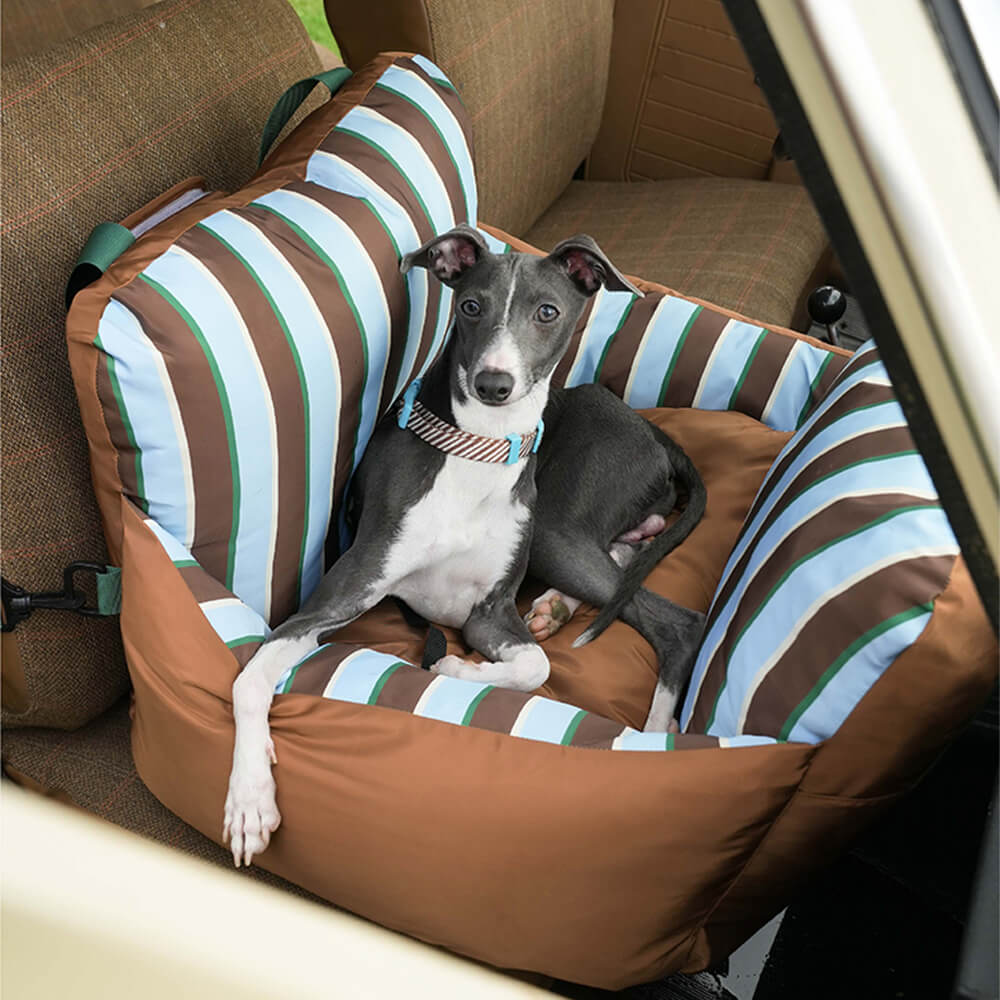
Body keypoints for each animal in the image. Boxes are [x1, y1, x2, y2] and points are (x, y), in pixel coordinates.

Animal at [221, 227, 704, 868]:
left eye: (547, 312)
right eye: (471, 306)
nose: (493, 385)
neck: (477, 449)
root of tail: (653, 430)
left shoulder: (489, 614)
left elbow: (533, 666)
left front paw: (453, 664)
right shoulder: (349, 589)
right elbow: (251, 676)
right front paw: (250, 799)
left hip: (554, 528)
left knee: (675, 618)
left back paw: (646, 728)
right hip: (559, 535)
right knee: (638, 577)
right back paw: (565, 618)